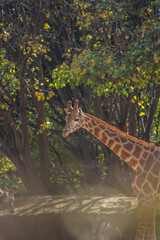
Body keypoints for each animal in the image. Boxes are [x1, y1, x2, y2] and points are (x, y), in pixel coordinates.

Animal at [62, 100, 160, 240]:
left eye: (76, 118)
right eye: (66, 118)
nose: (64, 132)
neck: (138, 161)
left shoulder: (146, 198)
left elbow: (142, 235)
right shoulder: (149, 200)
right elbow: (151, 234)